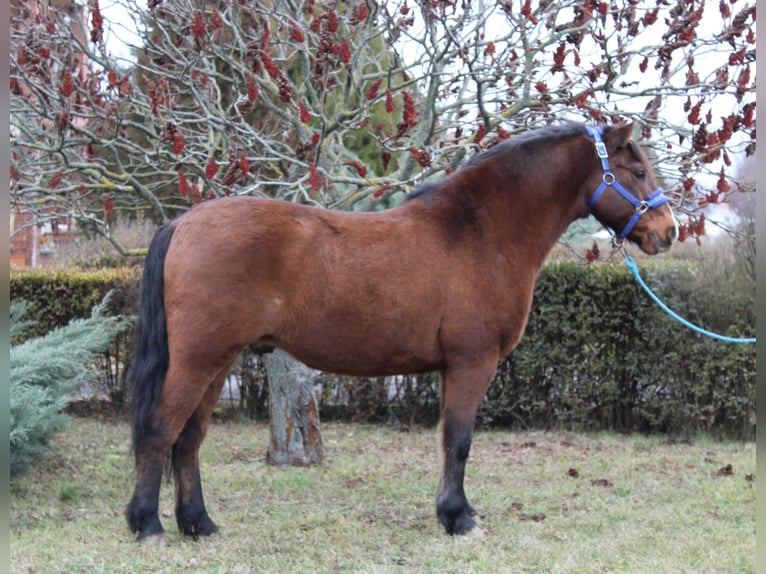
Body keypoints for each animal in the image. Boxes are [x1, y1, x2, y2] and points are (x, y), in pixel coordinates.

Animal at [126, 122, 677, 542]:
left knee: (189, 439)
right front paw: (459, 520)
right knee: (160, 429)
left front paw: (454, 512)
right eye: (638, 171)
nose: (669, 231)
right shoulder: (473, 362)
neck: (478, 233)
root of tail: (183, 223)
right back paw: (149, 525)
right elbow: (459, 440)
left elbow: (449, 439)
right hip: (199, 358)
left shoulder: (449, 368)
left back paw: (198, 524)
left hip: (218, 360)